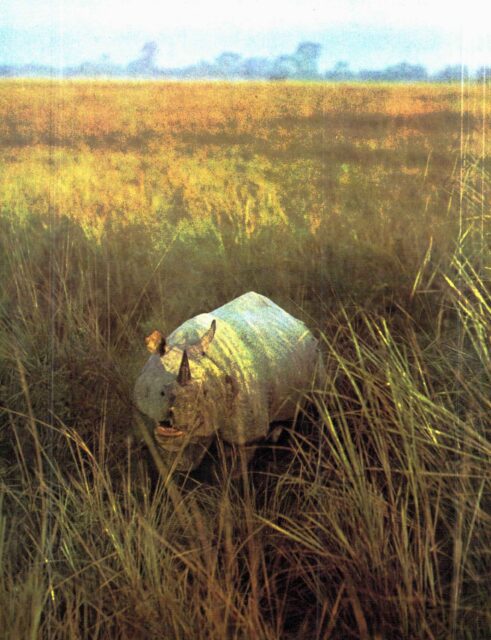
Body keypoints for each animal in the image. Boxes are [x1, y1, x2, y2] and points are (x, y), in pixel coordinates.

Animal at [134, 291, 324, 471]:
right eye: (155, 390)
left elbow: (236, 464)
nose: (174, 412)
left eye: (204, 393)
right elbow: (178, 460)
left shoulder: (245, 431)